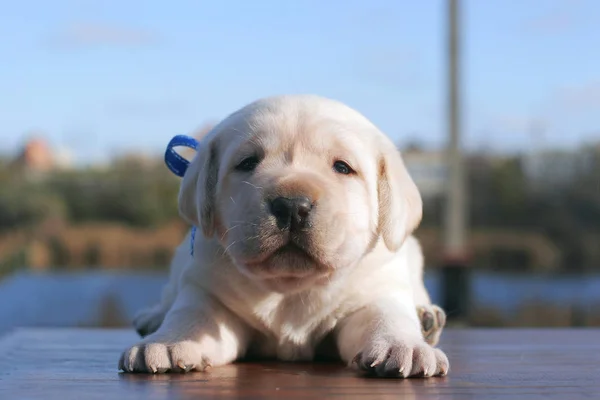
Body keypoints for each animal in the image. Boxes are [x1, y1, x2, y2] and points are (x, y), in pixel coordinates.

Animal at [119, 95, 448, 376]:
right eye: (248, 162)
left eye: (343, 167)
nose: (291, 206)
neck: (291, 286)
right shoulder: (209, 294)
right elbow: (190, 316)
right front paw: (169, 342)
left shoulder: (373, 294)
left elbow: (386, 317)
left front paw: (404, 346)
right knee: (169, 295)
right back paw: (152, 318)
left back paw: (427, 318)